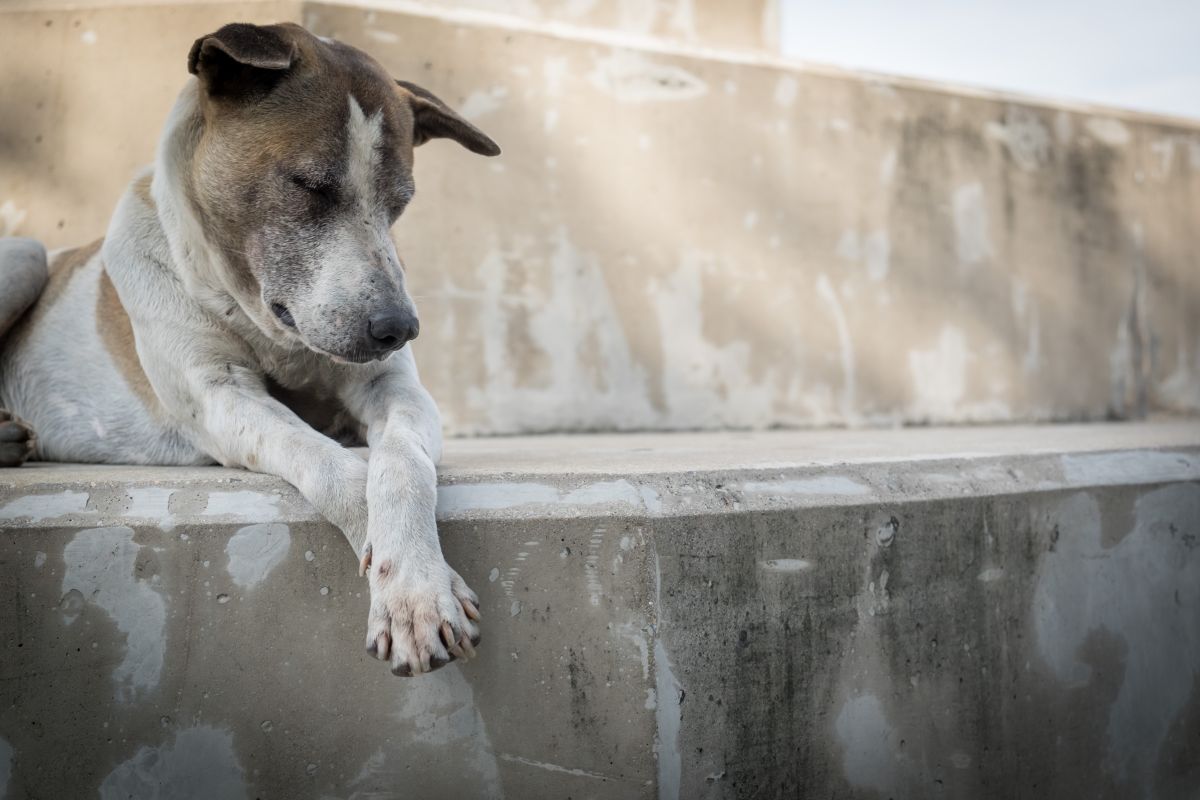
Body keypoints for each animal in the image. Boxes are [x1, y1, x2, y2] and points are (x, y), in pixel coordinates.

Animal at [0, 21, 501, 681]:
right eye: (309, 185)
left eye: (400, 203)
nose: (400, 328)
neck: (263, 323)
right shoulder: (220, 398)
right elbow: (332, 467)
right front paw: (403, 587)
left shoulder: (396, 389)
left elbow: (400, 467)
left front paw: (416, 585)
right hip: (25, 253)